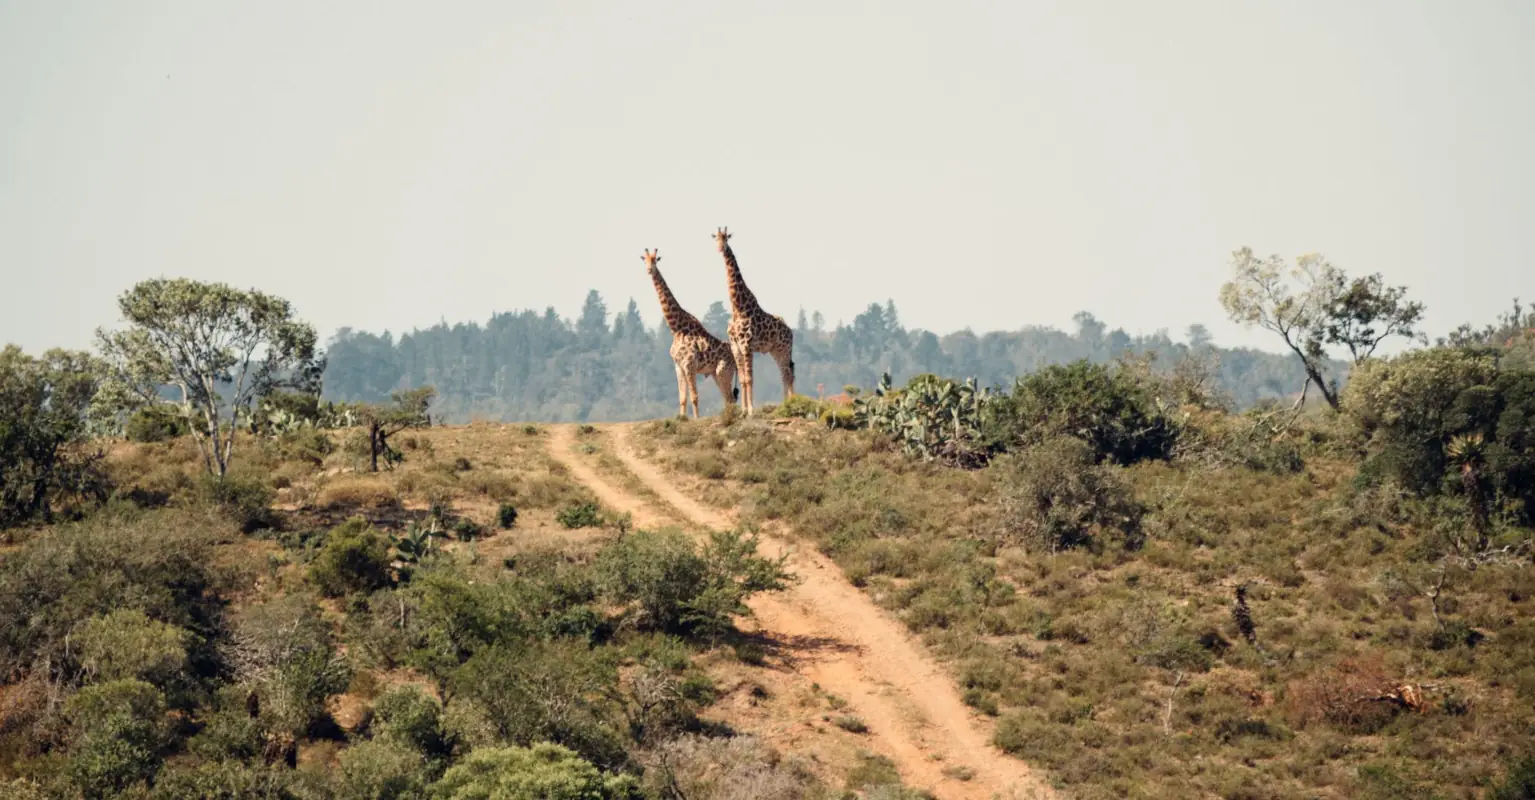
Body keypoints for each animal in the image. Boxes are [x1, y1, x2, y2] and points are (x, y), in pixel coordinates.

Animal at [643, 248, 737, 419]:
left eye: (655, 260)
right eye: (644, 259)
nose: (649, 270)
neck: (676, 328)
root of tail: (734, 355)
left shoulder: (689, 365)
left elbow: (694, 396)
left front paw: (696, 419)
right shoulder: (678, 366)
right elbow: (682, 398)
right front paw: (682, 418)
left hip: (723, 371)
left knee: (730, 398)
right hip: (715, 373)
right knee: (728, 399)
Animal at [713, 227, 794, 415]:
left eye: (726, 238)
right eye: (715, 239)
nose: (720, 248)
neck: (738, 308)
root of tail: (791, 331)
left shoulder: (747, 346)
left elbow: (750, 378)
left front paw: (751, 410)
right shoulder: (736, 347)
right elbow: (743, 379)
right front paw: (743, 410)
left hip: (784, 349)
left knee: (788, 374)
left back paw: (791, 404)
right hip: (775, 351)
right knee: (785, 374)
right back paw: (786, 404)